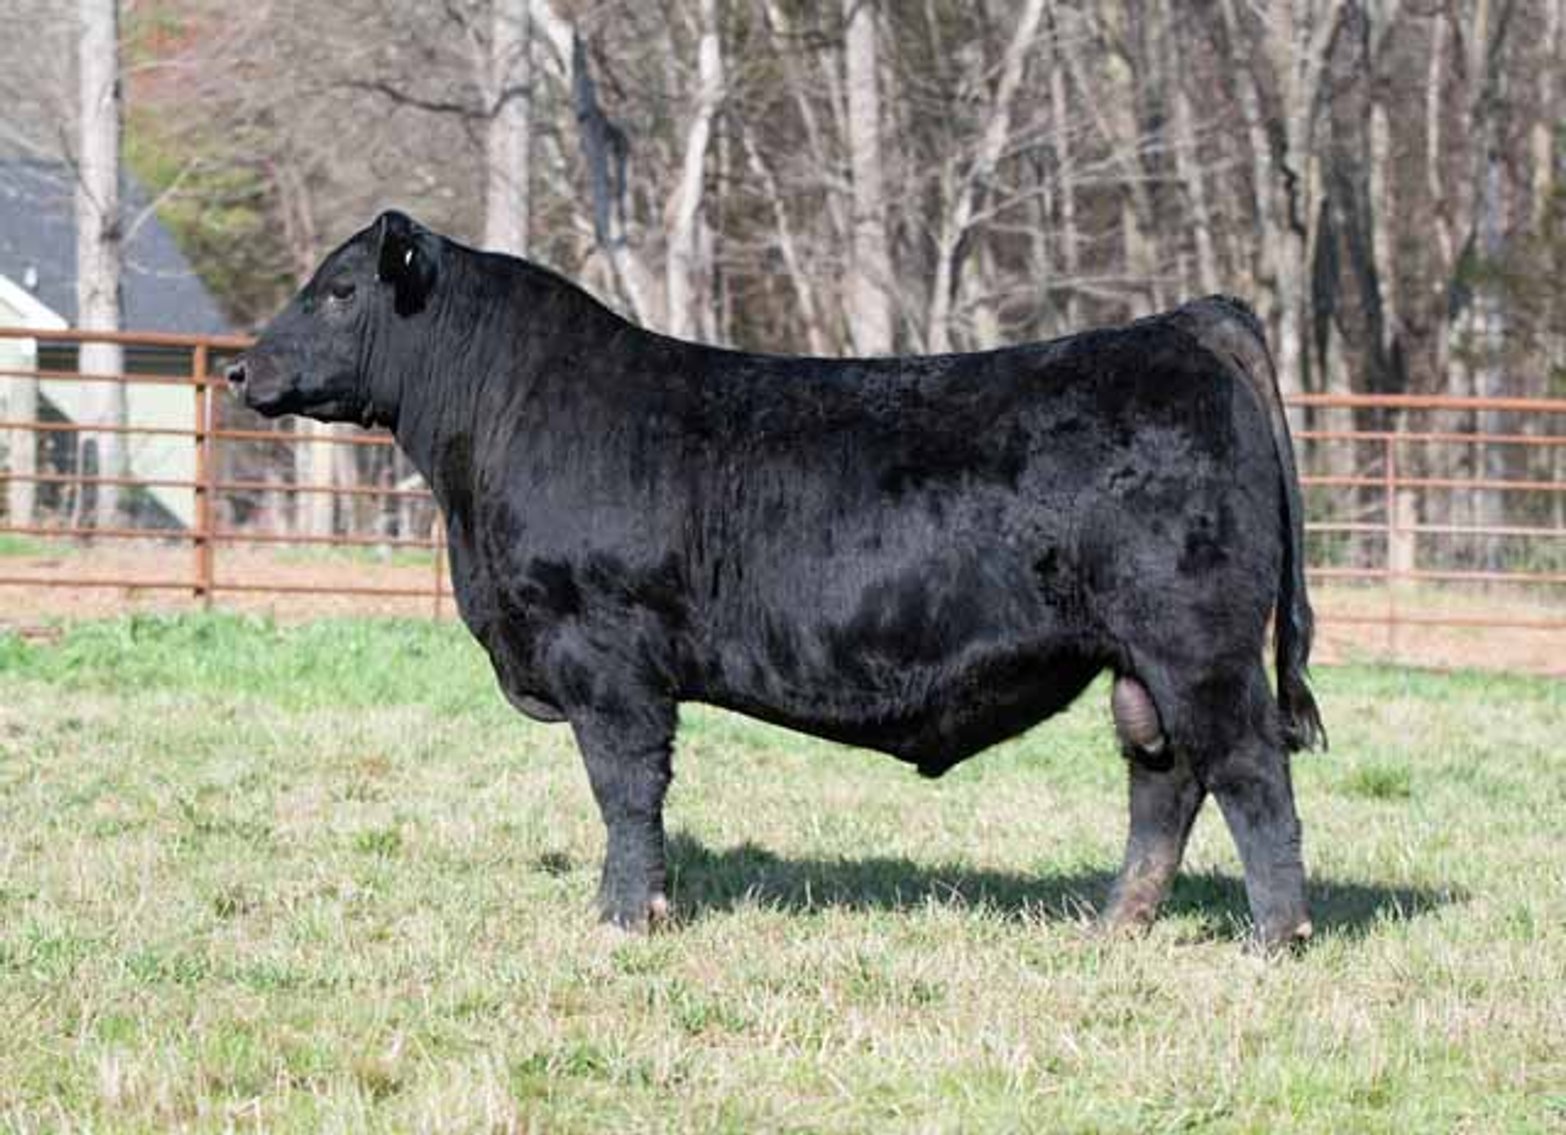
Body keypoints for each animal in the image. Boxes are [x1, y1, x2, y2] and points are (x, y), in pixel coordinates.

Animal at [228, 211, 1326, 947]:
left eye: (340, 290)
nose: (240, 371)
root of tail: (1182, 324)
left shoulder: (605, 655)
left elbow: (626, 785)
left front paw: (626, 917)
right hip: (1142, 659)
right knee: (1165, 781)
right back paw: (1114, 926)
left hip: (1198, 642)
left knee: (1248, 770)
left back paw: (1275, 939)